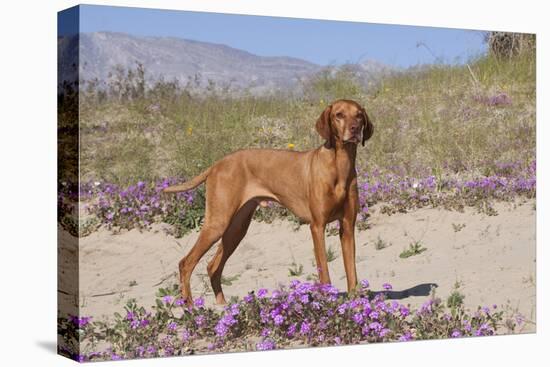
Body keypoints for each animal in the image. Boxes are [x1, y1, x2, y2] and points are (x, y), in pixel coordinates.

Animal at [165, 98, 376, 304]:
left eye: (359, 115)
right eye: (339, 115)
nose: (355, 129)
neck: (339, 166)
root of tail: (217, 164)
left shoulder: (347, 227)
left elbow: (352, 272)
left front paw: (356, 304)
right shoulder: (317, 226)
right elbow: (323, 270)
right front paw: (326, 299)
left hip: (236, 229)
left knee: (212, 266)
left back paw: (223, 307)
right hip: (217, 223)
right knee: (186, 264)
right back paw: (190, 308)